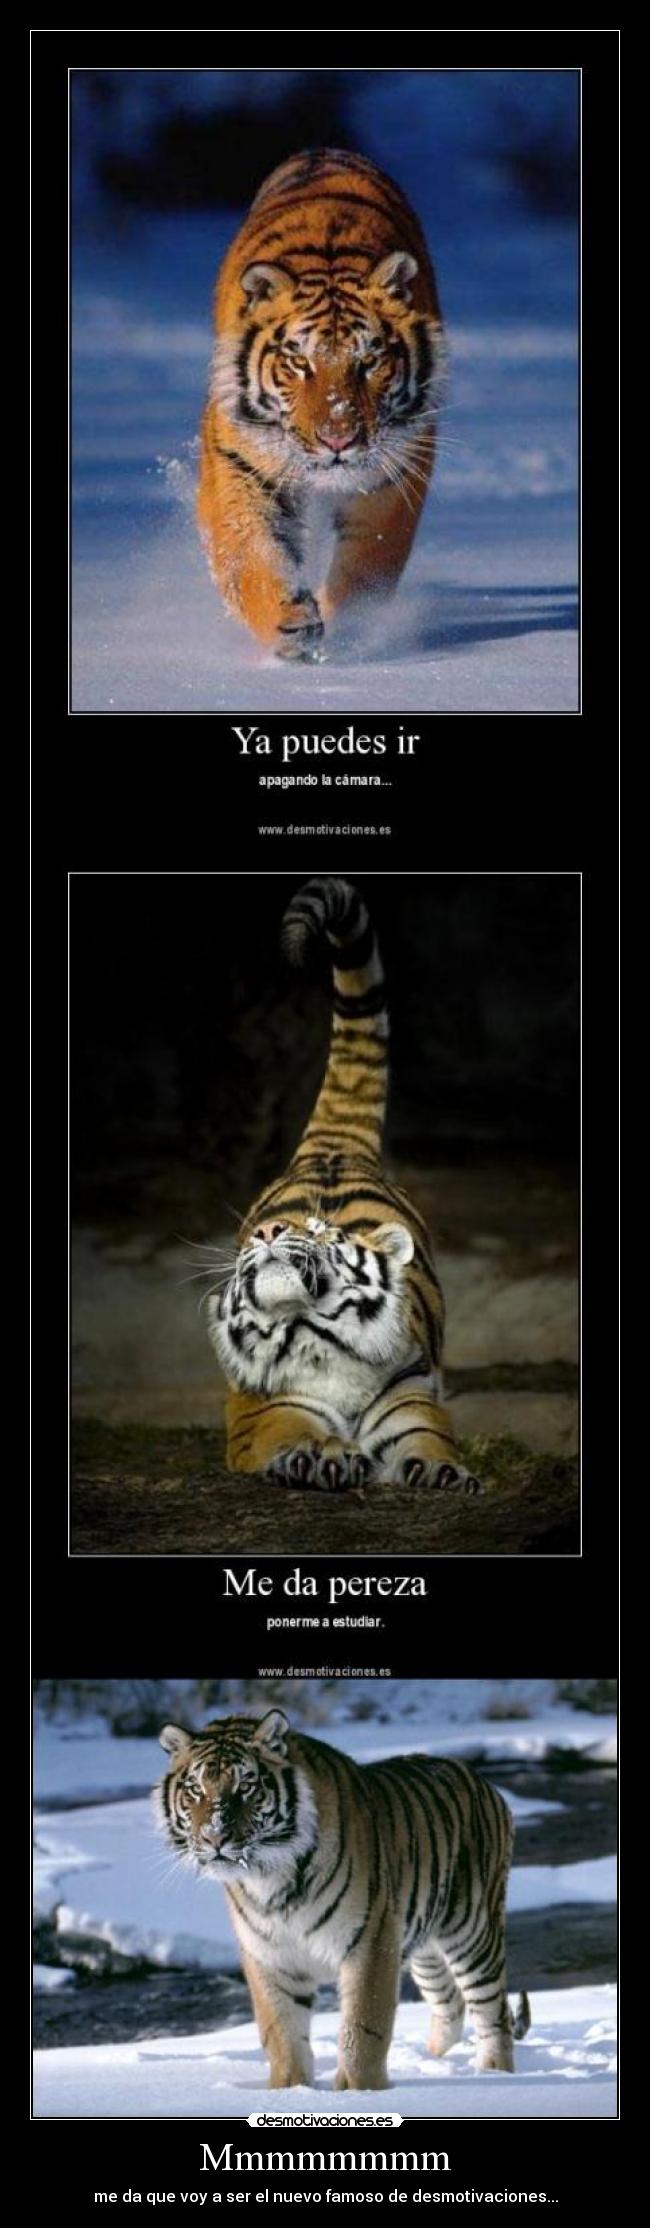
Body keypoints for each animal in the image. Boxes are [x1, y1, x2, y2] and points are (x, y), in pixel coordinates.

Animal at [156, 1710, 531, 2091]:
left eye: (246, 1786)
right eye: (195, 1789)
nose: (214, 1836)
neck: (270, 1877)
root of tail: (483, 1781)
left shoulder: (371, 1940)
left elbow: (362, 2028)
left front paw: (358, 2091)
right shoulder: (270, 1955)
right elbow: (281, 2033)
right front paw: (289, 2090)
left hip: (471, 1931)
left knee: (492, 2011)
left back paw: (493, 2073)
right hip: (424, 1946)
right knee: (449, 2004)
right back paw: (436, 2061)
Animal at [196, 147, 444, 660]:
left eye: (369, 361)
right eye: (298, 361)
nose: (337, 440)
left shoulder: (394, 476)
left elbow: (369, 563)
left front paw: (348, 628)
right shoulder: (237, 462)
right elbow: (250, 551)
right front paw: (289, 623)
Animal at [207, 875, 481, 1498]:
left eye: (321, 1232)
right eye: (264, 1235)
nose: (268, 1232)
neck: (321, 1341)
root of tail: (333, 1150)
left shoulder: (411, 1398)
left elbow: (428, 1439)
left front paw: (443, 1472)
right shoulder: (268, 1409)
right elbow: (295, 1431)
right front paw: (321, 1455)